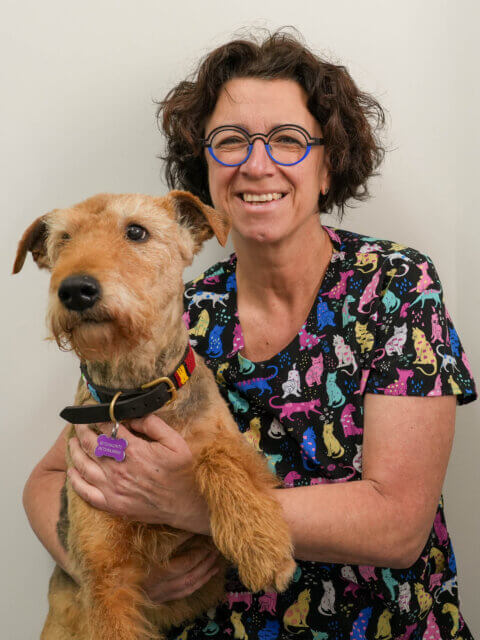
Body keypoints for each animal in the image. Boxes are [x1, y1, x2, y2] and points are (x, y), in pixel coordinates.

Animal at [14, 191, 296, 640]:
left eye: (136, 231)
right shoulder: (105, 576)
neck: (135, 393)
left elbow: (218, 454)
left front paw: (261, 548)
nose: (75, 290)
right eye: (64, 238)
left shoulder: (231, 441)